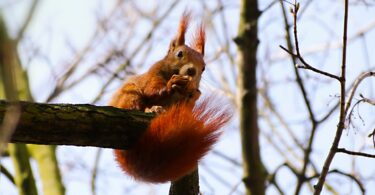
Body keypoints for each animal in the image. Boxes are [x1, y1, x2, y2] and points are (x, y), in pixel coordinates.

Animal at [109, 11, 232, 183]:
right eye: (179, 54)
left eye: (204, 68)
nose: (192, 71)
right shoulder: (153, 74)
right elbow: (152, 90)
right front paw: (170, 85)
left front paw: (192, 95)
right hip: (129, 96)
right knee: (135, 105)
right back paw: (151, 109)